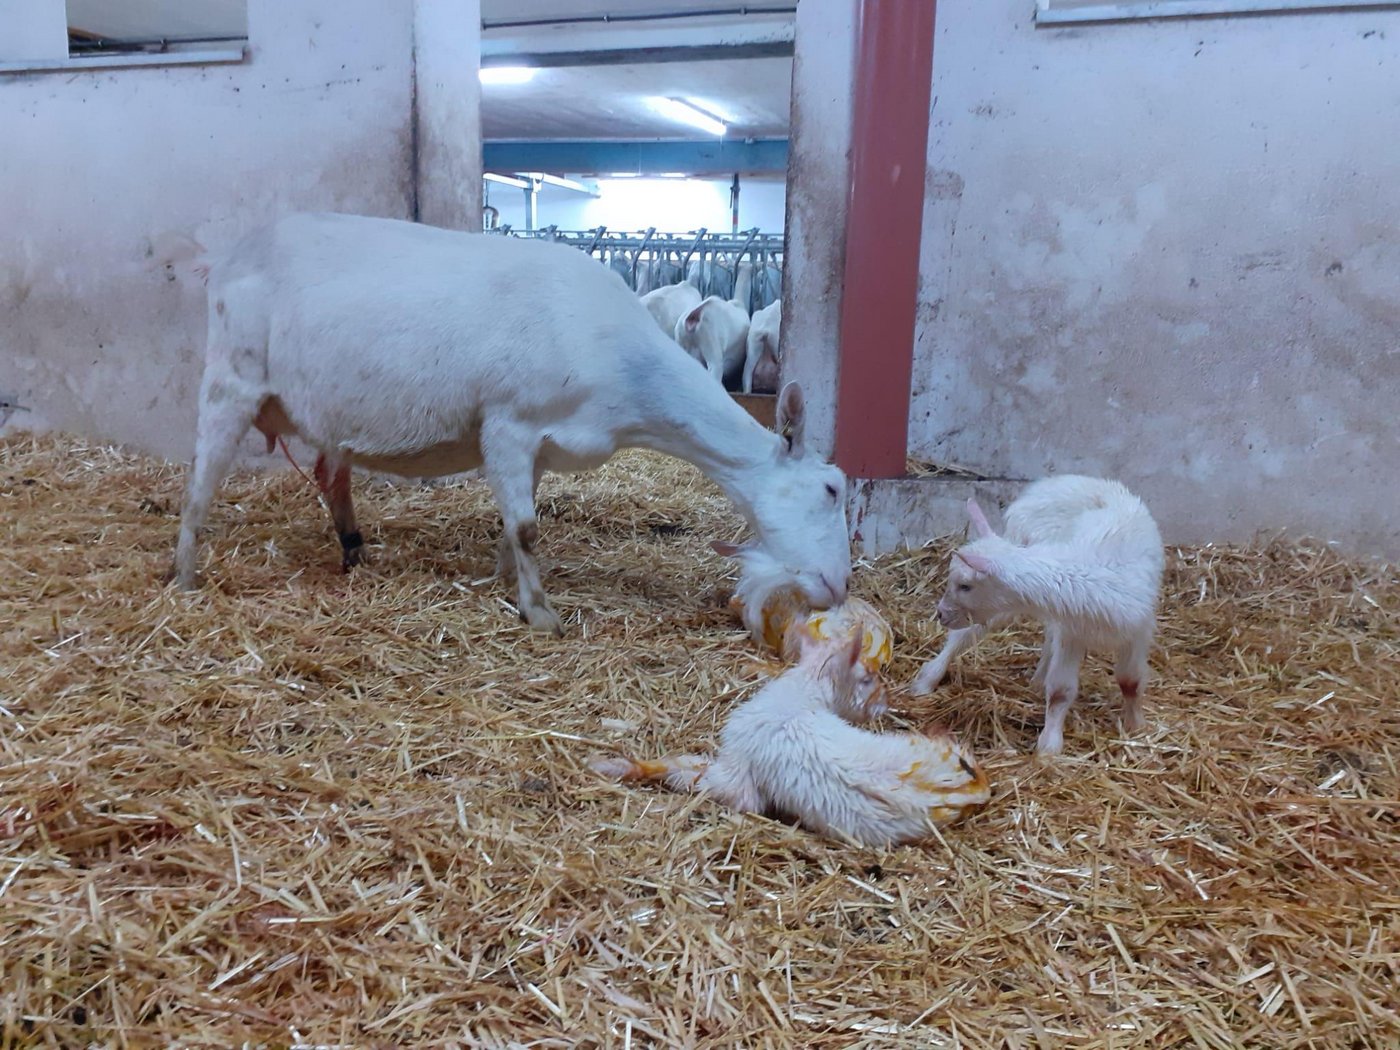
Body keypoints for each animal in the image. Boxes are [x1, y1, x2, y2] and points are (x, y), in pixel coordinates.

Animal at [168, 213, 852, 635]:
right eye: (831, 488)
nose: (840, 587)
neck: (625, 373)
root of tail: (228, 257)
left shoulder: (545, 442)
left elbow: (518, 525)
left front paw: (502, 579)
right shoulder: (507, 422)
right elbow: (526, 528)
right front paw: (541, 613)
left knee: (328, 473)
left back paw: (354, 551)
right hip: (231, 375)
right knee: (202, 480)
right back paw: (184, 574)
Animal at [592, 631, 990, 848]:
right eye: (867, 678)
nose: (885, 704)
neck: (802, 692)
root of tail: (975, 787)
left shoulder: (737, 771)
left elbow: (696, 776)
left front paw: (611, 766)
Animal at [911, 476, 1164, 755]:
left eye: (965, 585)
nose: (941, 614)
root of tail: (1049, 483)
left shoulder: (1138, 629)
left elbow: (1130, 681)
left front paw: (1136, 726)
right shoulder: (1071, 632)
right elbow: (1061, 691)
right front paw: (1049, 746)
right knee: (965, 635)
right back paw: (926, 680)